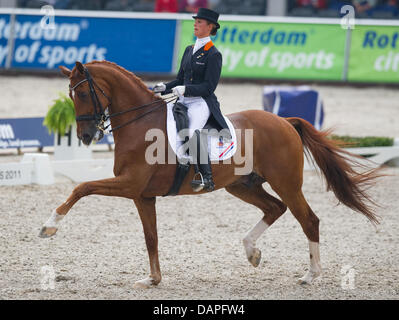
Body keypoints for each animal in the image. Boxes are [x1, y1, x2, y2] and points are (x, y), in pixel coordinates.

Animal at [39, 59, 382, 288]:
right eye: (70, 96)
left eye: (84, 94)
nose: (85, 136)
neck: (140, 123)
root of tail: (285, 121)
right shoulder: (142, 195)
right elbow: (151, 237)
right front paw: (153, 279)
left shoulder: (129, 184)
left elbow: (82, 187)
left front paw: (49, 227)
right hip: (242, 185)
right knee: (275, 208)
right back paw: (252, 252)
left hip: (286, 183)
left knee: (308, 219)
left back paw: (310, 275)